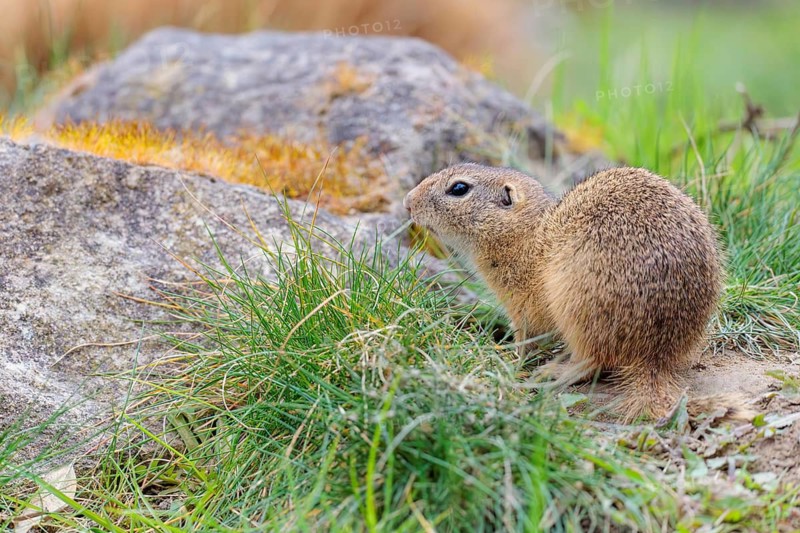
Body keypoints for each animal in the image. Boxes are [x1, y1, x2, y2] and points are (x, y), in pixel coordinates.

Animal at [404, 163, 749, 422]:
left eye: (458, 189)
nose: (407, 201)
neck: (527, 235)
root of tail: (655, 356)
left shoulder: (524, 309)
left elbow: (527, 341)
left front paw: (506, 361)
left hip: (577, 308)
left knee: (592, 361)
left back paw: (555, 373)